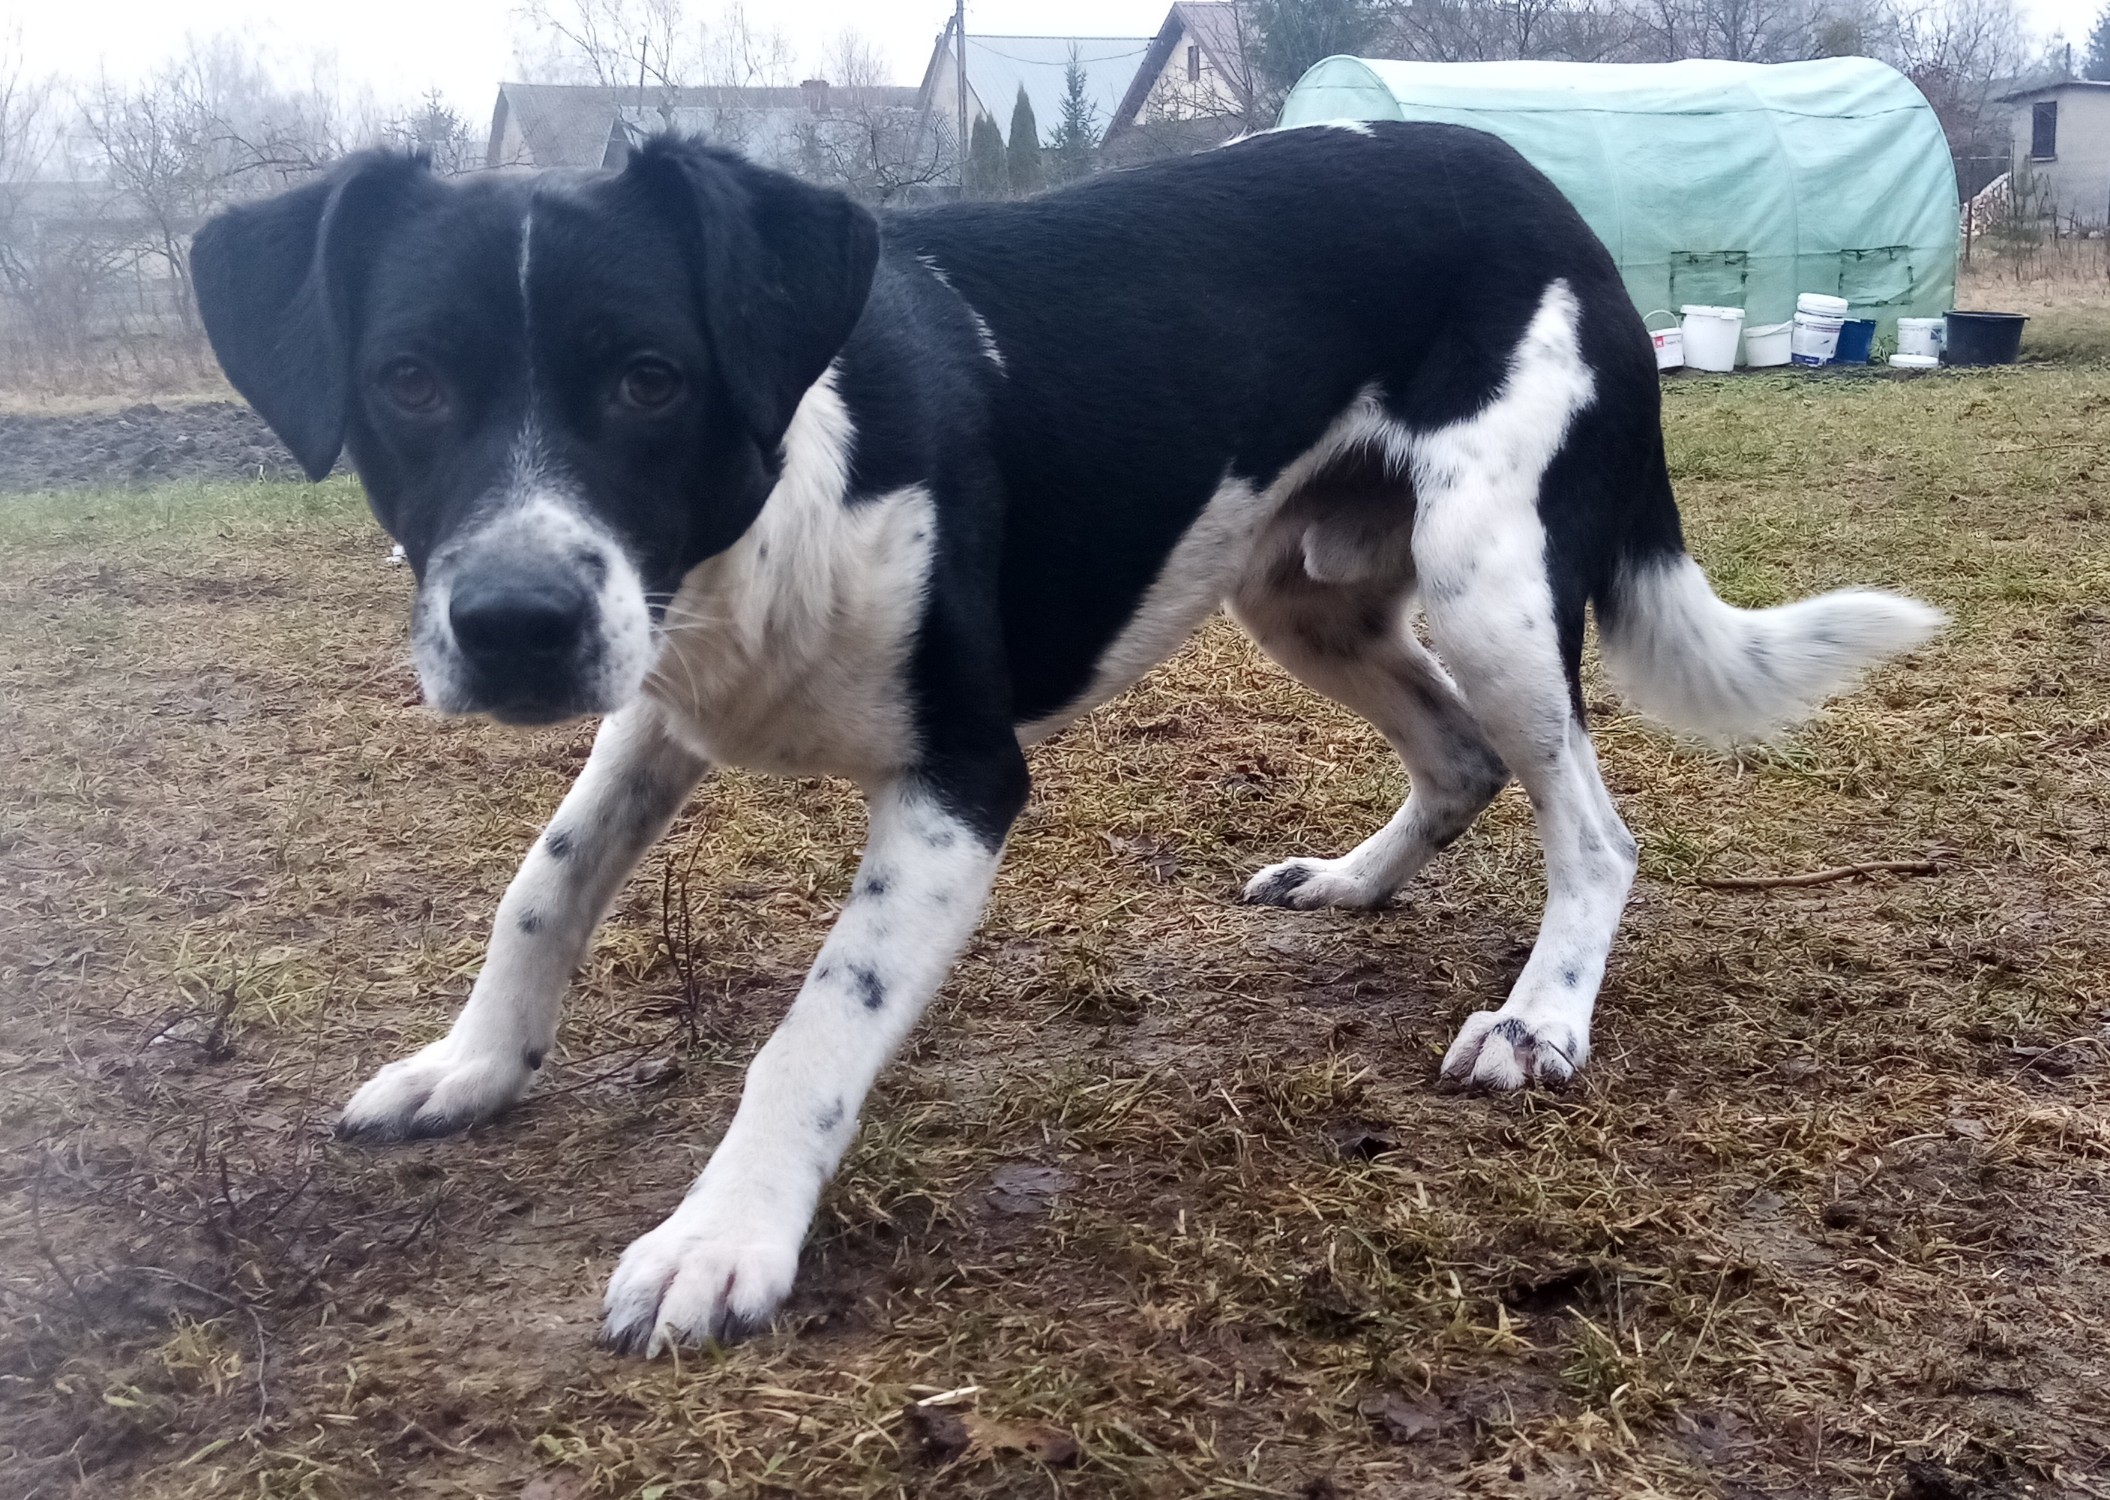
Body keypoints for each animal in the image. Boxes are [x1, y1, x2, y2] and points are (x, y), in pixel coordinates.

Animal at [190, 125, 1941, 1354]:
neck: (778, 490)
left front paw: (722, 1239)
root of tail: (1537, 186)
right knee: (1457, 761)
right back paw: (1353, 883)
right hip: (1297, 595)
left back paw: (1540, 1018)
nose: (513, 629)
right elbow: (542, 885)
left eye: (648, 380)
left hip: (1489, 577)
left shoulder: (959, 782)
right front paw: (474, 1067)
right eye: (407, 381)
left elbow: (812, 1030)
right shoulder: (661, 696)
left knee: (1593, 823)